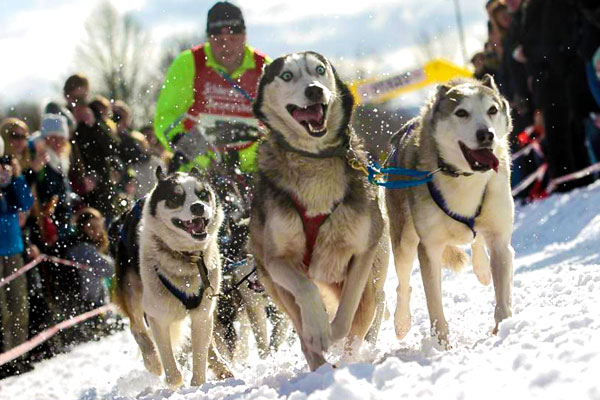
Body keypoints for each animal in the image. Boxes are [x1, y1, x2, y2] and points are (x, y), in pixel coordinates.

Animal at [112, 167, 232, 390]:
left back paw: (222, 368)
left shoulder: (203, 313)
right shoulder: (157, 316)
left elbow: (200, 354)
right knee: (137, 328)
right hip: (133, 291)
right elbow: (170, 366)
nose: (197, 207)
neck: (187, 257)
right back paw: (152, 361)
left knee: (207, 346)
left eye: (203, 194)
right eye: (176, 197)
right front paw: (175, 382)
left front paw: (198, 385)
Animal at [248, 51, 390, 370]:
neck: (313, 161)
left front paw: (333, 332)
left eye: (320, 70)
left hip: (372, 278)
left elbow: (349, 312)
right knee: (302, 328)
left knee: (367, 313)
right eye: (287, 76)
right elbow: (306, 291)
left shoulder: (363, 252)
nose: (314, 90)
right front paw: (318, 329)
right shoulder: (277, 260)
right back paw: (319, 362)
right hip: (275, 285)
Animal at [386, 76, 512, 346]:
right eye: (461, 112)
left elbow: (502, 293)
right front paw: (442, 345)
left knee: (480, 242)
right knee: (403, 283)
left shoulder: (499, 239)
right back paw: (401, 323)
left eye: (492, 110)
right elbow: (434, 305)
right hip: (404, 239)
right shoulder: (429, 248)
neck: (464, 179)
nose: (486, 134)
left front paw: (504, 328)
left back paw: (482, 269)